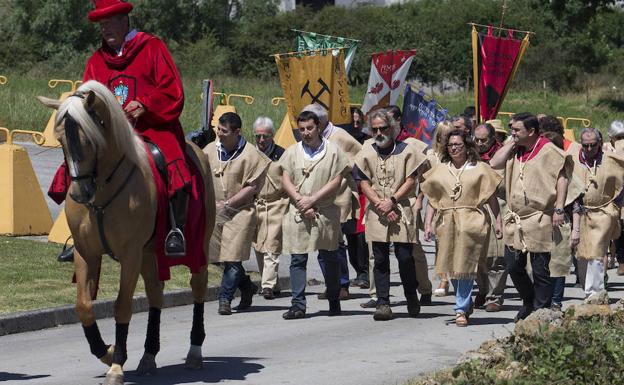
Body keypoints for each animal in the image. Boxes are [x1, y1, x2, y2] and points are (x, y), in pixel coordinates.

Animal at [37, 81, 217, 384]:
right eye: (60, 140)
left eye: (89, 140)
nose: (79, 193)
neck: (102, 191)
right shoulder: (87, 254)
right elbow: (83, 306)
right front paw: (107, 351)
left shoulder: (130, 254)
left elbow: (122, 306)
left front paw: (117, 365)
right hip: (149, 253)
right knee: (155, 292)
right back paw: (149, 355)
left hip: (196, 246)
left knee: (198, 287)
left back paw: (194, 352)